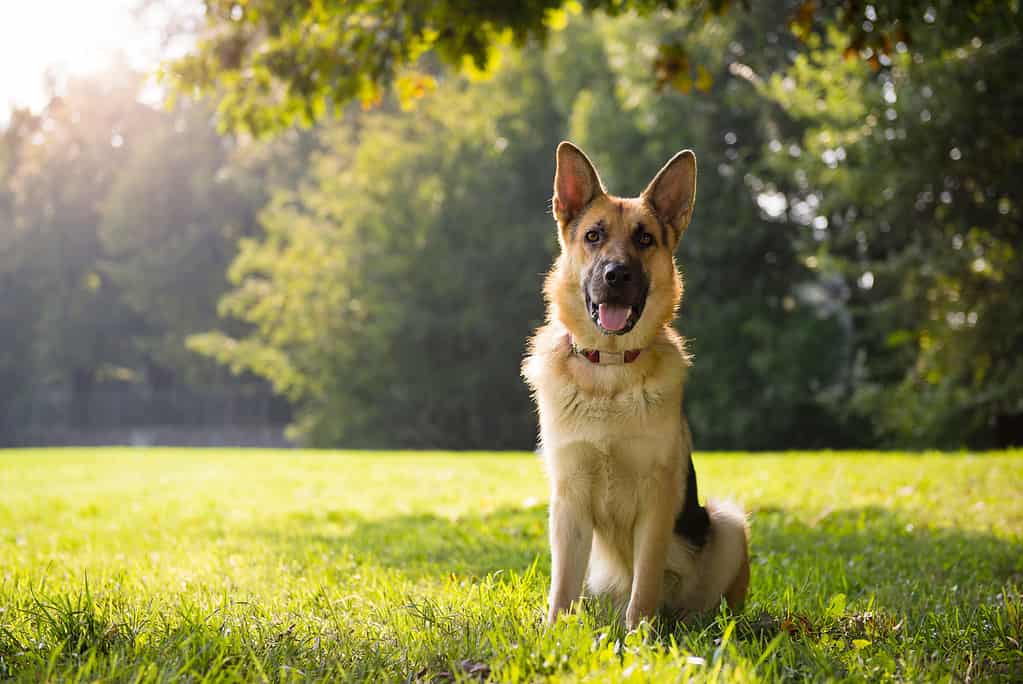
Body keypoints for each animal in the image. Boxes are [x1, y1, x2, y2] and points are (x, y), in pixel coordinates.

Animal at [523, 141, 748, 625]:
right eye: (593, 236)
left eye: (645, 239)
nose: (616, 275)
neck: (609, 371)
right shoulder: (568, 504)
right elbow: (561, 588)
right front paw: (554, 633)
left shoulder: (656, 504)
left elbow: (644, 585)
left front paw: (639, 636)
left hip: (729, 524)